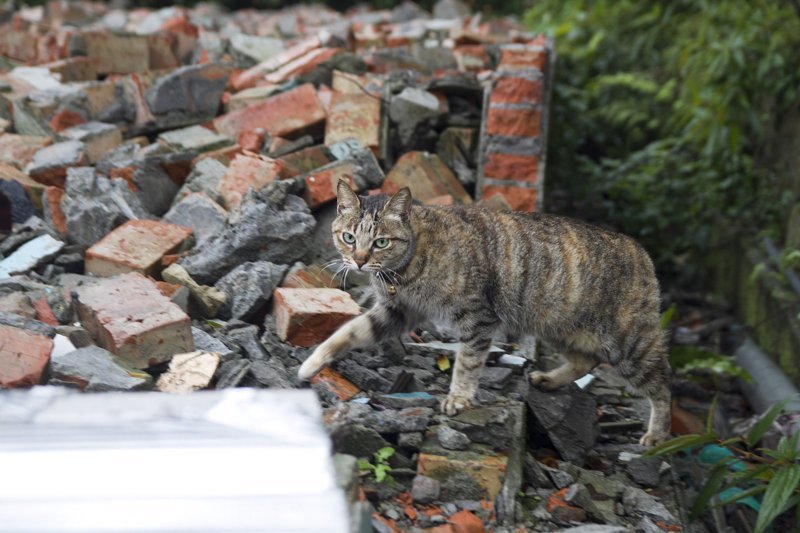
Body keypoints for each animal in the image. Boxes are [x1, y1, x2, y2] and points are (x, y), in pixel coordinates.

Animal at [296, 180, 672, 444]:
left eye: (381, 243)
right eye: (348, 237)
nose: (359, 261)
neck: (406, 269)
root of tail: (641, 252)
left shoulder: (477, 318)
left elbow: (467, 362)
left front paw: (459, 397)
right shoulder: (396, 312)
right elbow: (347, 332)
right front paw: (312, 363)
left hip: (630, 344)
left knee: (665, 384)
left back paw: (657, 434)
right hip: (557, 326)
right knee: (586, 360)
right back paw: (549, 380)